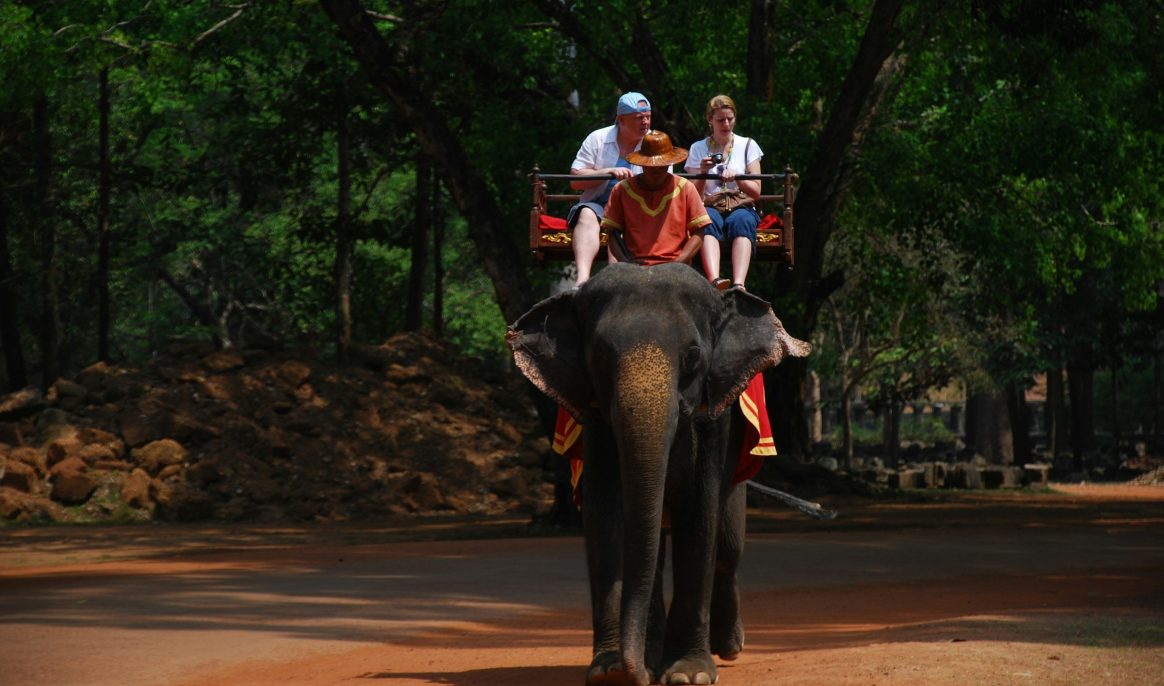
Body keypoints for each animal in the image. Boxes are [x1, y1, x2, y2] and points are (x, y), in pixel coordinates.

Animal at [506, 262, 810, 685]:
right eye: (600, 355)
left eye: (694, 355)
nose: (634, 673)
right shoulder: (596, 420)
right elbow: (607, 515)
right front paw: (609, 670)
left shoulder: (714, 419)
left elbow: (699, 516)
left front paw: (688, 675)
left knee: (728, 545)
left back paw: (728, 647)